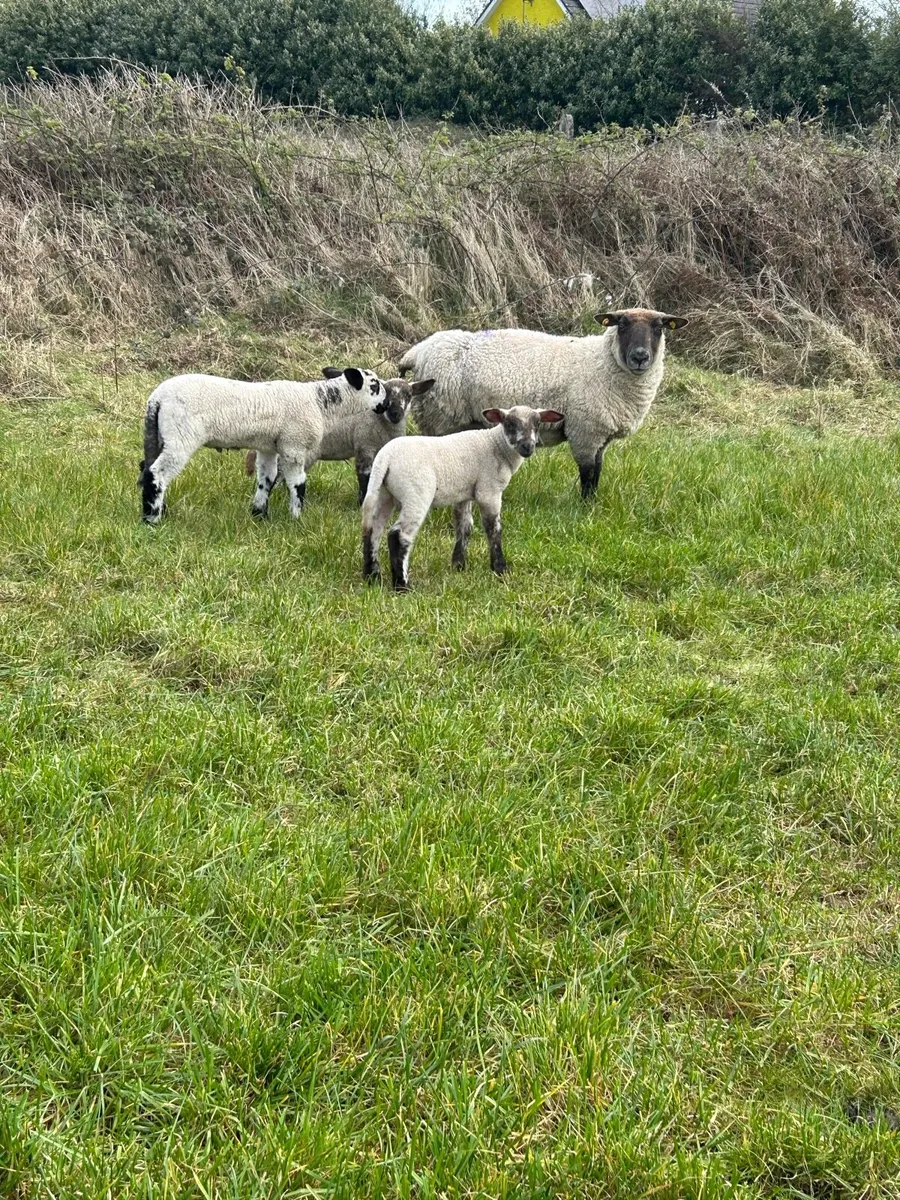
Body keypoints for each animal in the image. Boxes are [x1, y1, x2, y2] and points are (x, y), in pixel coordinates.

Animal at [139, 366, 397, 524]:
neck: (321, 403)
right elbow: (297, 483)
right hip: (181, 434)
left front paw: (259, 516)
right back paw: (152, 519)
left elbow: (266, 479)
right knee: (157, 473)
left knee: (145, 467)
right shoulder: (294, 446)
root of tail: (157, 399)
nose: (386, 404)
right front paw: (297, 518)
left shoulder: (269, 447)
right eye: (375, 385)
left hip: (159, 434)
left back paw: (157, 510)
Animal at [243, 374, 435, 507]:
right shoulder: (364, 446)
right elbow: (365, 478)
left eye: (409, 395)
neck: (382, 425)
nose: (395, 414)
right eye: (385, 394)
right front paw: (361, 504)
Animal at [361, 404, 564, 591]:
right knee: (398, 535)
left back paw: (372, 577)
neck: (496, 446)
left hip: (383, 493)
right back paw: (402, 585)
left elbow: (464, 526)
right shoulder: (489, 491)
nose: (528, 447)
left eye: (537, 424)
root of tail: (385, 458)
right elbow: (493, 529)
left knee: (372, 530)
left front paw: (459, 565)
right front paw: (500, 568)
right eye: (510, 424)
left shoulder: (464, 493)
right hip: (416, 494)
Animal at [399, 308, 688, 500]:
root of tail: (417, 352)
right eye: (622, 325)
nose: (640, 357)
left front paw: (593, 504)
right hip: (439, 417)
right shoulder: (585, 430)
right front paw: (586, 507)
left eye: (659, 328)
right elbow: (588, 473)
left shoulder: (599, 435)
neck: (603, 362)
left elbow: (597, 471)